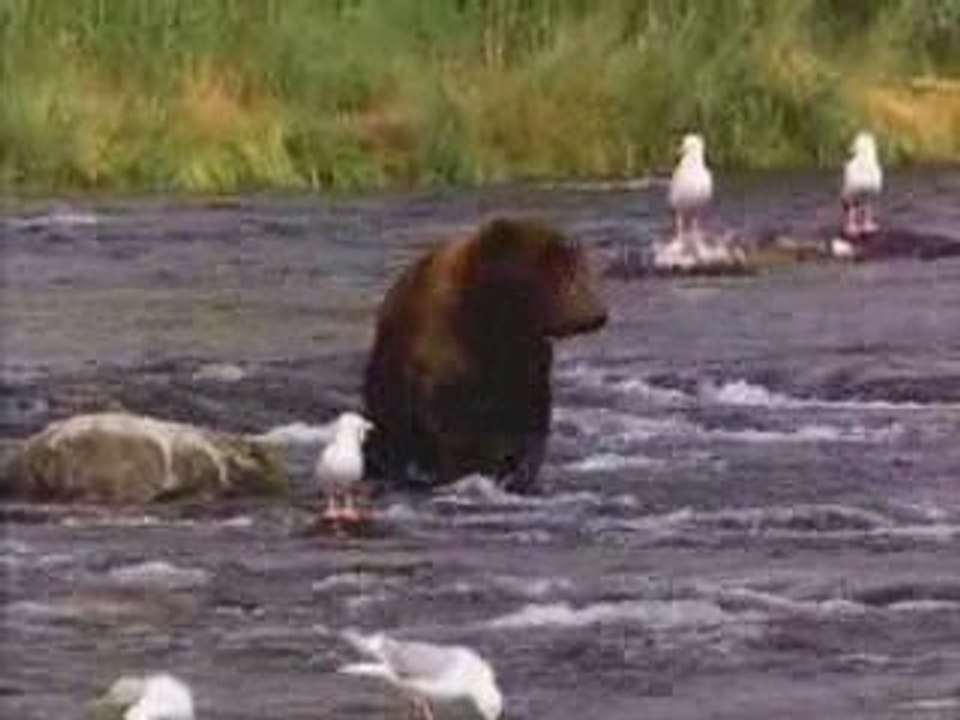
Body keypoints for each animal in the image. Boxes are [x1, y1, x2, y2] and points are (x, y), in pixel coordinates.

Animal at [362, 216, 608, 493]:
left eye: (580, 269)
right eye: (560, 275)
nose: (597, 313)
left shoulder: (524, 355)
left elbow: (527, 414)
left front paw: (515, 472)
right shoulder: (444, 350)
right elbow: (451, 423)